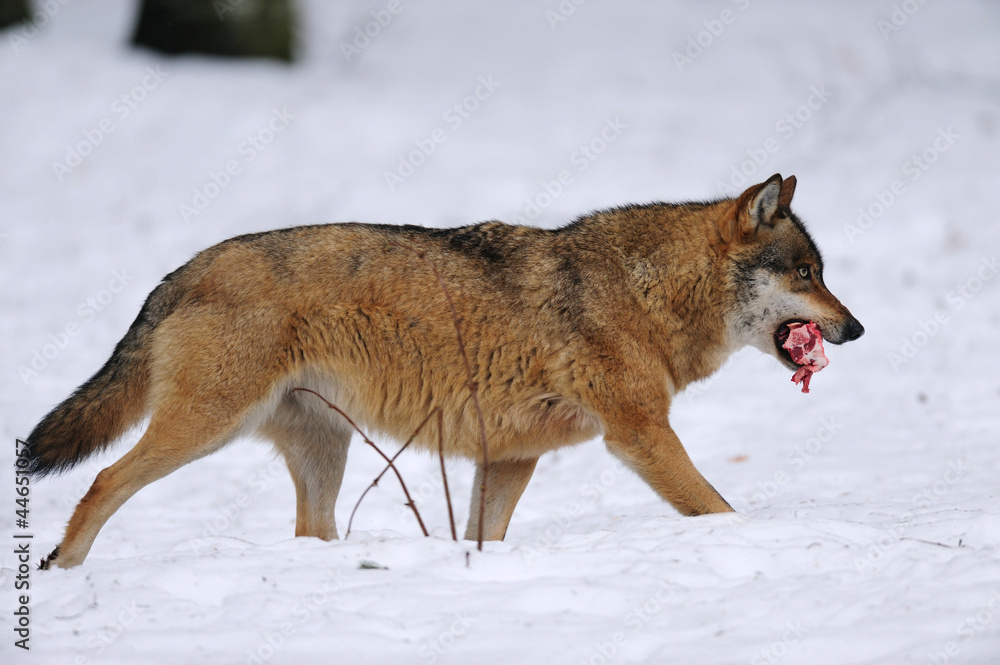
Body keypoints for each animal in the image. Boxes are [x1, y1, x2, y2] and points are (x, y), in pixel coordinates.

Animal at [23, 173, 863, 568]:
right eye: (808, 273)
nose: (855, 328)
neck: (644, 290)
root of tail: (185, 268)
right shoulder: (640, 435)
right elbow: (719, 507)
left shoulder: (512, 457)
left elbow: (484, 536)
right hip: (205, 428)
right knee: (103, 482)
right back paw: (63, 570)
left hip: (325, 454)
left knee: (307, 531)